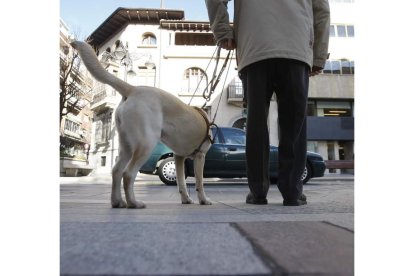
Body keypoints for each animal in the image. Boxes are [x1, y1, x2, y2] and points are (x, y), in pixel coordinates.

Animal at [71, 41, 212, 208]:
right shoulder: (200, 156)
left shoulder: (178, 157)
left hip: (126, 146)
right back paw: (133, 203)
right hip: (146, 144)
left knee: (116, 171)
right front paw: (203, 200)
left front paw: (186, 199)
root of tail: (132, 89)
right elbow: (199, 182)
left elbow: (181, 182)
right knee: (128, 174)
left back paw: (117, 201)